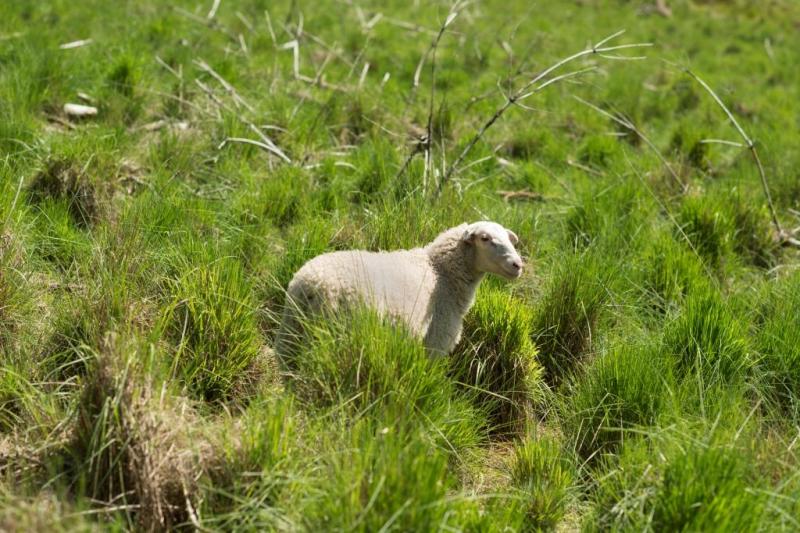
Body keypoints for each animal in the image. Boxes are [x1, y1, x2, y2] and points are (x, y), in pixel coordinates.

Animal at [276, 220, 524, 358]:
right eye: (485, 238)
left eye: (509, 239)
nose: (518, 265)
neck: (441, 272)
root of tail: (309, 285)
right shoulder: (435, 343)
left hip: (290, 333)